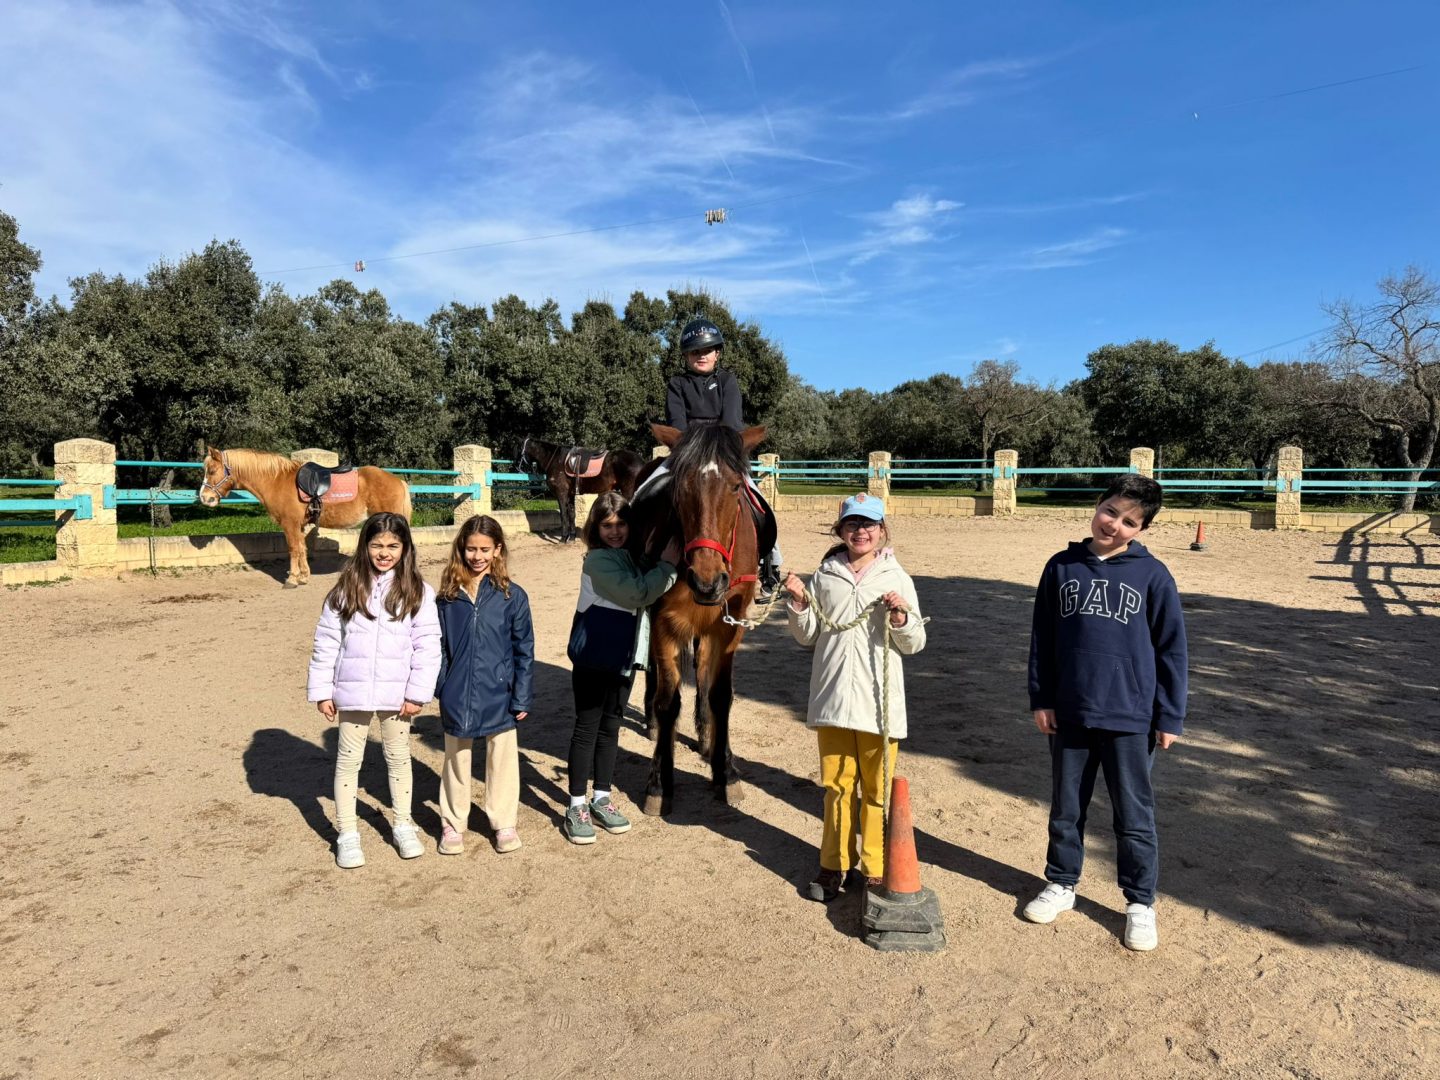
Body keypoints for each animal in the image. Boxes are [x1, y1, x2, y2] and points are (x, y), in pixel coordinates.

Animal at [197, 447, 412, 588]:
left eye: (212, 471)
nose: (205, 498)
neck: (276, 480)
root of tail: (398, 481)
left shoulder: (289, 524)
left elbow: (293, 549)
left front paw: (292, 579)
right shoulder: (298, 526)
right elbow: (302, 549)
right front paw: (303, 576)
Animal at [627, 422, 768, 815]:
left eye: (735, 486)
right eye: (681, 487)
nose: (707, 581)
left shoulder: (730, 626)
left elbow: (720, 694)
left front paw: (726, 772)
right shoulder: (663, 621)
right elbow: (668, 701)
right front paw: (659, 784)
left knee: (704, 672)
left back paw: (706, 737)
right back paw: (654, 724)